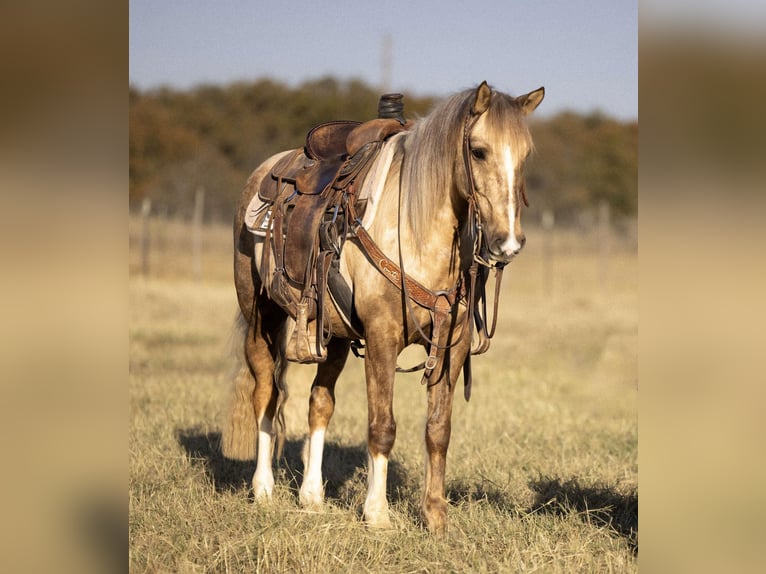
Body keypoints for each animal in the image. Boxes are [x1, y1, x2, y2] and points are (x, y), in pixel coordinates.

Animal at [222, 82, 544, 536]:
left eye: (526, 154)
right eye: (478, 151)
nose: (509, 242)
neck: (415, 229)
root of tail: (266, 171)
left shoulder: (452, 345)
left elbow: (438, 429)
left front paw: (435, 515)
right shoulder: (381, 338)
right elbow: (382, 426)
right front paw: (377, 513)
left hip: (334, 336)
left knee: (319, 402)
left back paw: (311, 496)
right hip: (260, 315)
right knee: (266, 393)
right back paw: (264, 489)